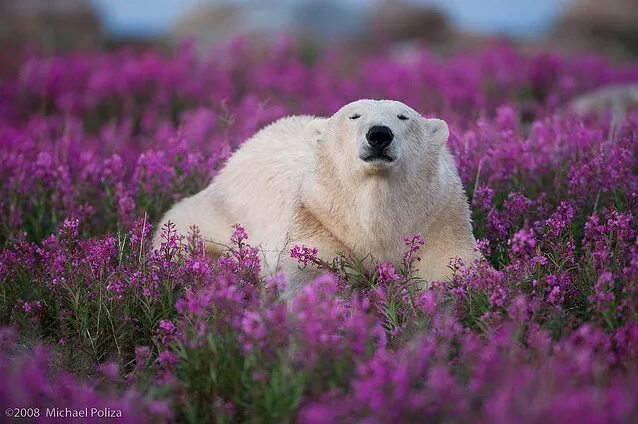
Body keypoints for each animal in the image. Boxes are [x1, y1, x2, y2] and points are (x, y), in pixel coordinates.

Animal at [154, 100, 476, 296]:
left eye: (403, 116)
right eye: (354, 115)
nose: (379, 134)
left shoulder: (439, 217)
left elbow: (448, 266)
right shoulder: (319, 215)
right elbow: (309, 273)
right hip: (216, 212)